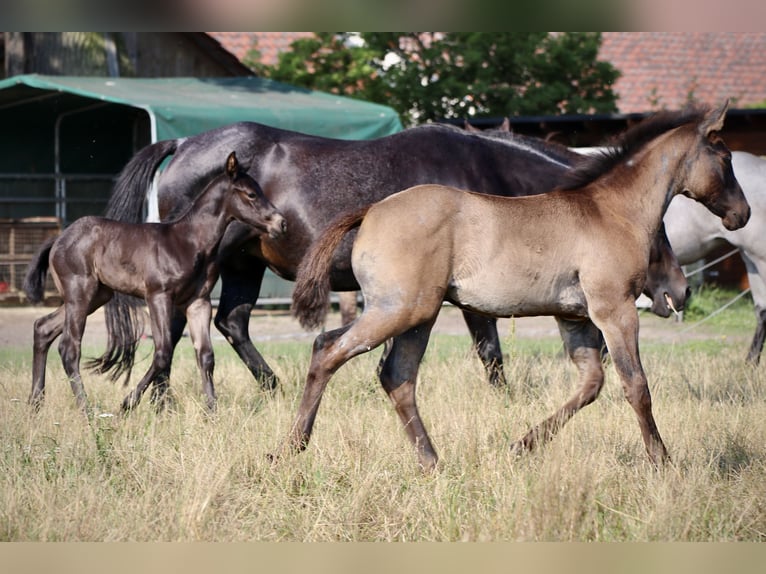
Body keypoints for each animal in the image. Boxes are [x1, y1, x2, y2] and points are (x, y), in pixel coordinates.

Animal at [25, 153, 288, 414]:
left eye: (261, 190)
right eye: (251, 194)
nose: (281, 223)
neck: (188, 242)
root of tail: (59, 238)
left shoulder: (198, 301)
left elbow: (205, 355)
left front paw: (212, 411)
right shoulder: (158, 296)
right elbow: (163, 352)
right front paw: (127, 404)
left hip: (97, 296)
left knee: (43, 328)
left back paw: (35, 403)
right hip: (79, 293)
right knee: (69, 347)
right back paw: (85, 410)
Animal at [103, 120, 688, 392]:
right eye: (656, 228)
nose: (677, 291)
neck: (482, 176)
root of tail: (183, 144)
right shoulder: (471, 295)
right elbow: (491, 353)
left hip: (246, 265)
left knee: (231, 322)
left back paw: (269, 389)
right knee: (179, 326)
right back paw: (158, 396)